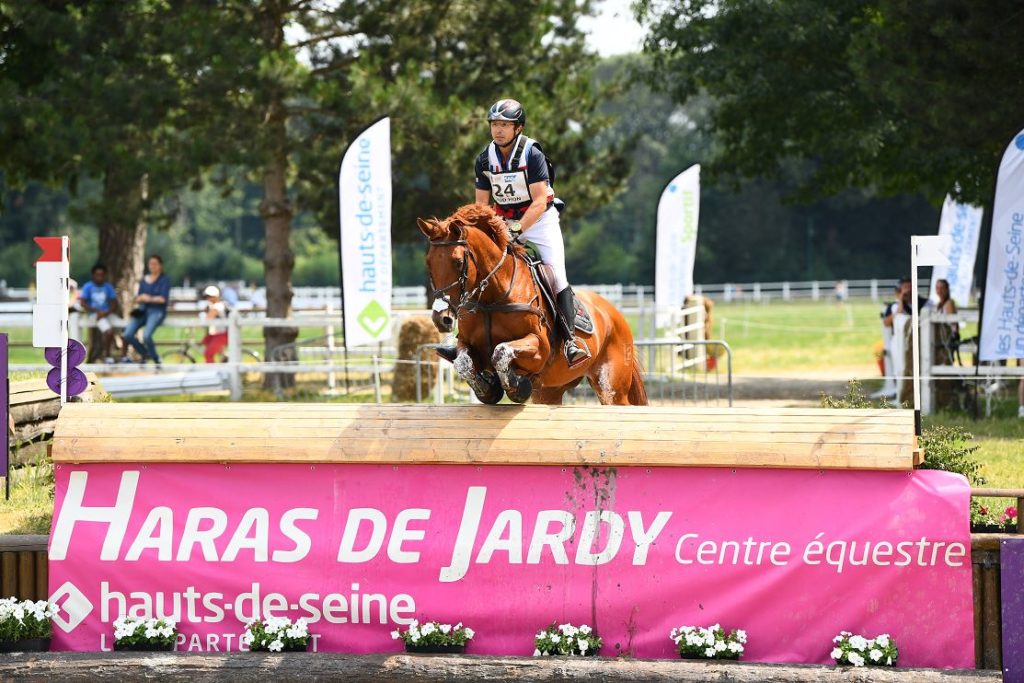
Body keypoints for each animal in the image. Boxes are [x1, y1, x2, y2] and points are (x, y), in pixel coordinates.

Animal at [415, 204, 647, 405]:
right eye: (428, 263)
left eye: (457, 262)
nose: (442, 318)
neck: (491, 298)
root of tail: (615, 314)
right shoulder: (466, 344)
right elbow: (463, 363)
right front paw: (487, 389)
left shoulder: (539, 347)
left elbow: (501, 351)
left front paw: (515, 386)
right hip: (550, 391)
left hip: (611, 388)